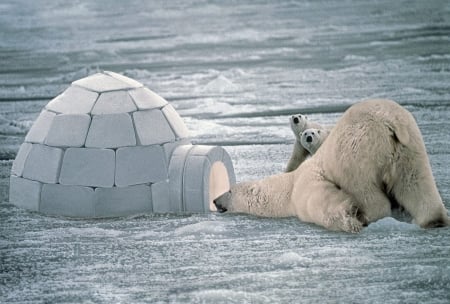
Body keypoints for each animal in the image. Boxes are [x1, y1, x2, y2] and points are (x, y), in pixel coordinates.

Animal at [216, 100, 448, 233]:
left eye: (229, 190)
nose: (215, 200)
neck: (287, 187)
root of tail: (390, 121)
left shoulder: (306, 184)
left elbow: (321, 201)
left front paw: (349, 218)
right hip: (409, 147)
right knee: (416, 183)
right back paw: (434, 220)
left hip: (357, 151)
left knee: (365, 188)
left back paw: (369, 215)